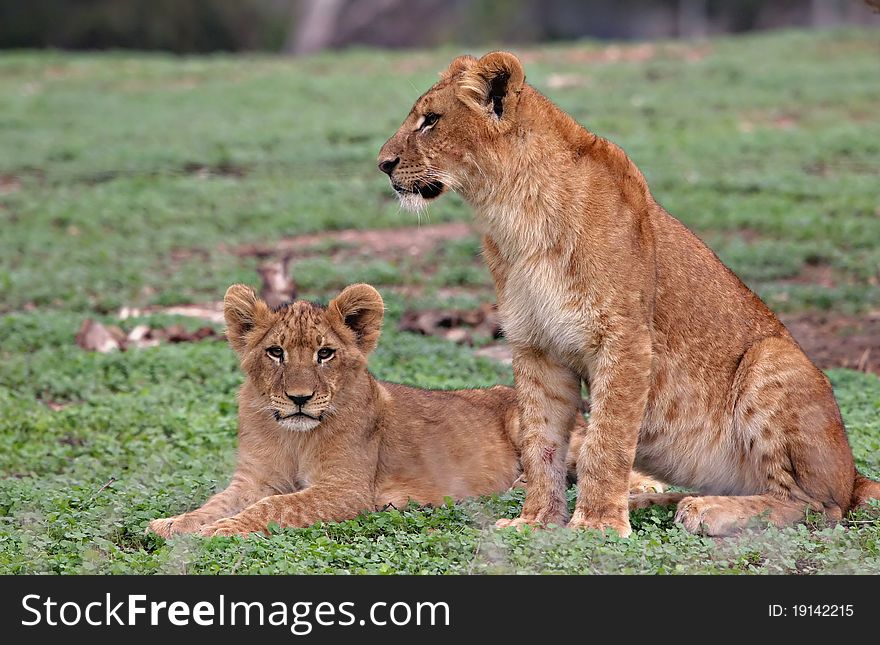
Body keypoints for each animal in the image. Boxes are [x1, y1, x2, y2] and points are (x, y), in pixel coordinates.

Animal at [150, 282, 660, 540]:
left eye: (325, 354)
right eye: (275, 353)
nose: (298, 398)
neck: (293, 435)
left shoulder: (347, 490)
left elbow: (276, 506)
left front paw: (219, 531)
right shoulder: (253, 479)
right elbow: (215, 503)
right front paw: (173, 524)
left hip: (537, 421)